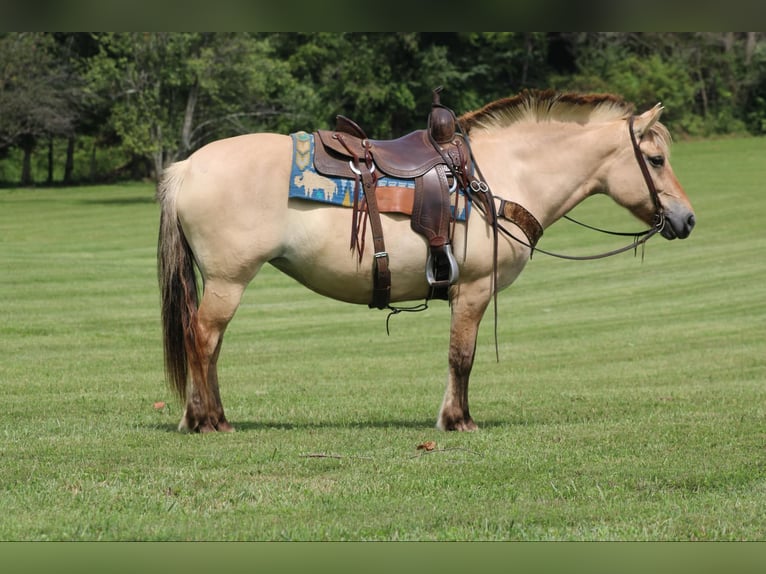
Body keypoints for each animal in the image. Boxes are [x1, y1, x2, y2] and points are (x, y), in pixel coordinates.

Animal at [156, 90, 696, 434]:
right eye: (655, 160)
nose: (687, 218)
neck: (500, 179)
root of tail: (188, 167)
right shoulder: (473, 289)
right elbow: (462, 357)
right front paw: (459, 420)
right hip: (228, 280)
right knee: (202, 340)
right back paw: (205, 421)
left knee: (210, 345)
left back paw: (210, 417)